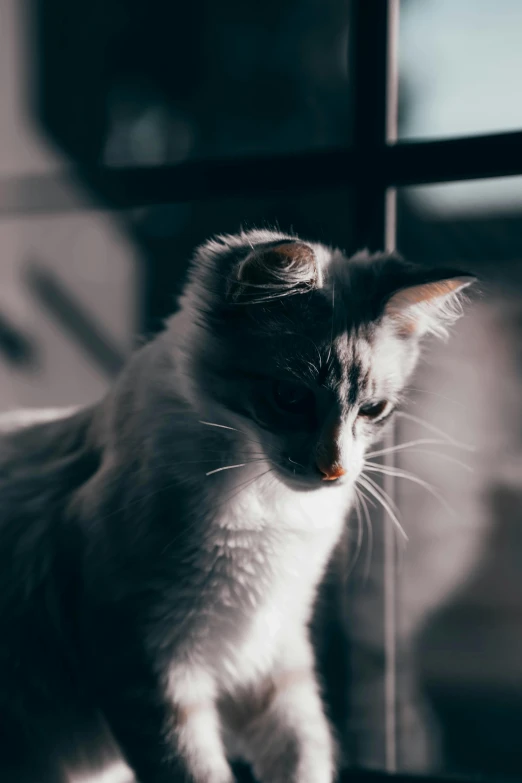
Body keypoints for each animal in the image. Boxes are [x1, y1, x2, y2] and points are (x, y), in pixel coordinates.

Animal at [0, 228, 472, 783]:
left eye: (373, 410)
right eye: (289, 397)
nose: (334, 470)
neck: (264, 506)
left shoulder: (273, 651)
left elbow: (304, 751)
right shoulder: (149, 665)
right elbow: (196, 768)